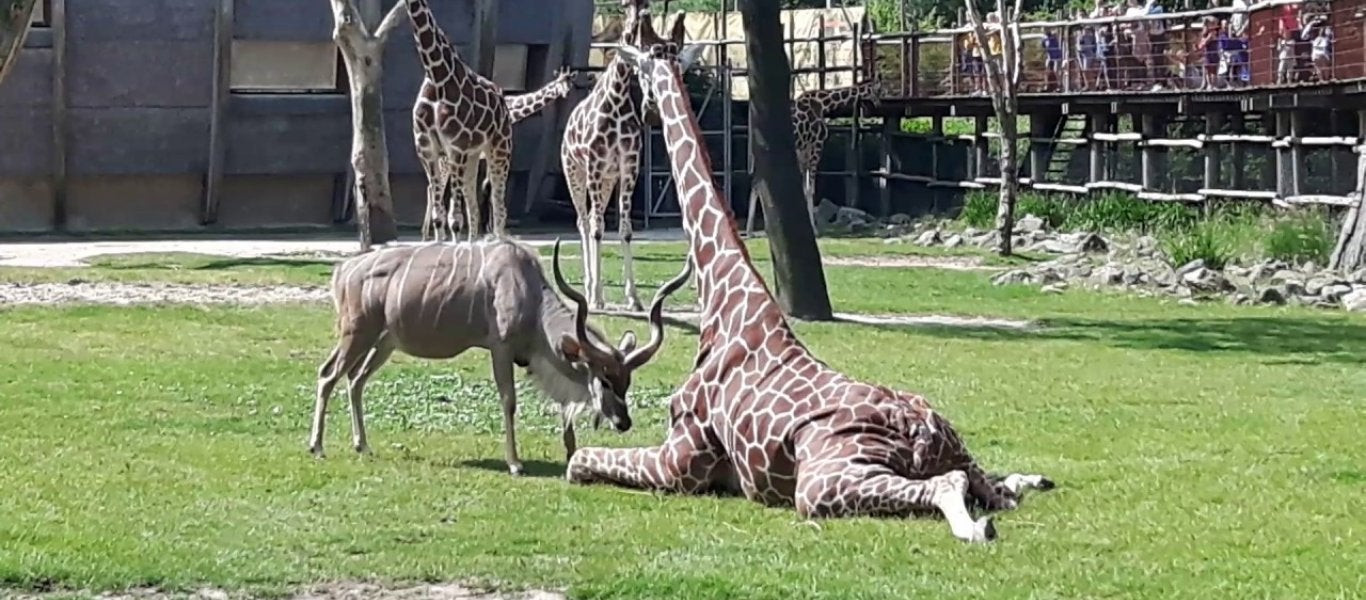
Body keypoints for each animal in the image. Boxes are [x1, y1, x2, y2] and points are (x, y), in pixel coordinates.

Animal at [310, 235, 693, 475]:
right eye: (603, 380)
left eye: (626, 382)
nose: (623, 422)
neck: (529, 295)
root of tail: (342, 272)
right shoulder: (501, 348)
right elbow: (508, 401)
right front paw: (515, 464)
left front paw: (570, 453)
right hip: (356, 333)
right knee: (328, 374)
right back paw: (317, 447)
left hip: (384, 342)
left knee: (355, 380)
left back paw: (362, 445)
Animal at [407, 0, 513, 241]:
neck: (437, 76)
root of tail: (503, 102)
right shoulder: (427, 149)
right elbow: (439, 218)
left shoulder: (456, 148)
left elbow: (454, 221)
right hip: (473, 157)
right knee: (473, 210)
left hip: (499, 150)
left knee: (499, 209)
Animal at [557, 7, 699, 312]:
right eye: (647, 65)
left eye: (680, 67)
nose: (654, 112)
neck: (617, 98)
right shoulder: (596, 166)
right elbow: (598, 230)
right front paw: (597, 296)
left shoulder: (628, 168)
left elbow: (625, 230)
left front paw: (633, 297)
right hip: (576, 173)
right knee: (584, 222)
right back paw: (589, 287)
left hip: (607, 181)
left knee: (591, 218)